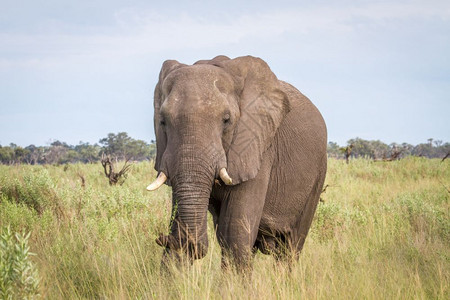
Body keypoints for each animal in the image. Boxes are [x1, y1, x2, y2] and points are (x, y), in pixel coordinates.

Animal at [148, 55, 326, 268]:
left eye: (226, 120)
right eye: (162, 121)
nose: (161, 238)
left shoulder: (257, 146)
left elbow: (235, 233)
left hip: (318, 174)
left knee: (290, 247)